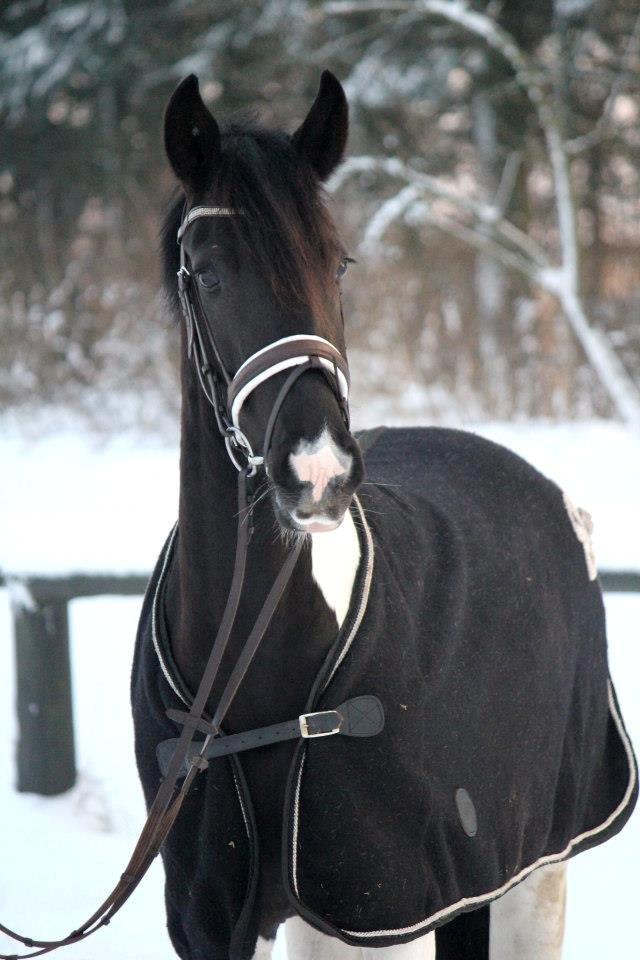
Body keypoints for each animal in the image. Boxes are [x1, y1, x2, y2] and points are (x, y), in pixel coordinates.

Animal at [130, 71, 637, 960]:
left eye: (336, 263)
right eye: (208, 272)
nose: (320, 471)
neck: (253, 695)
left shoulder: (379, 910)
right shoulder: (209, 922)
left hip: (531, 872)